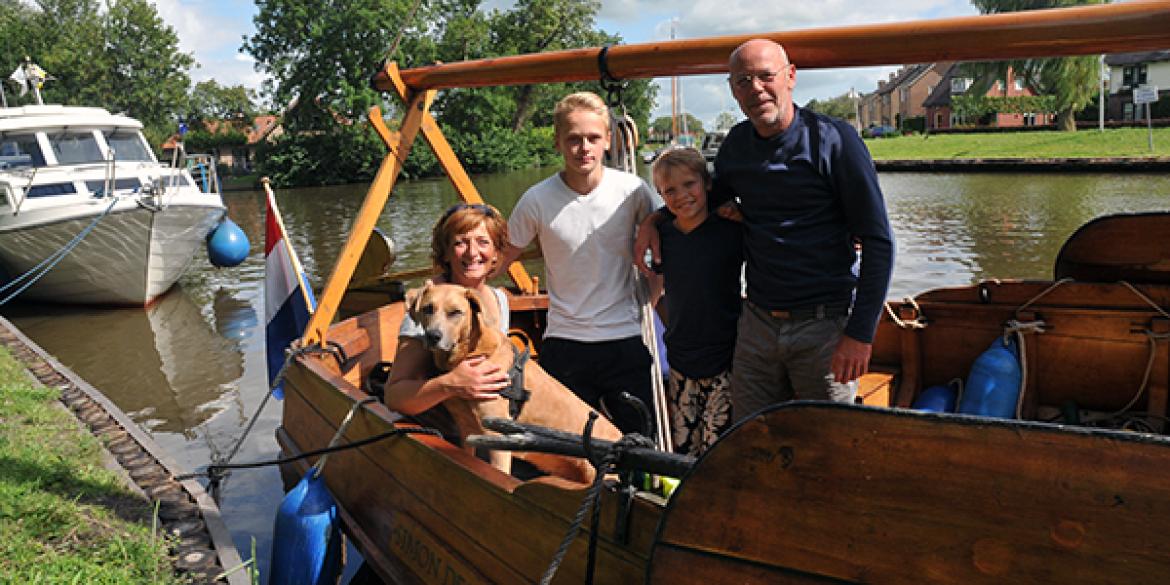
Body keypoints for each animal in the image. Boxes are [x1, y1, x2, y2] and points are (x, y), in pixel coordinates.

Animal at [404, 280, 622, 482]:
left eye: (456, 312)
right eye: (428, 308)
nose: (433, 336)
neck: (474, 353)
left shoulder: (496, 439)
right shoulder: (466, 431)